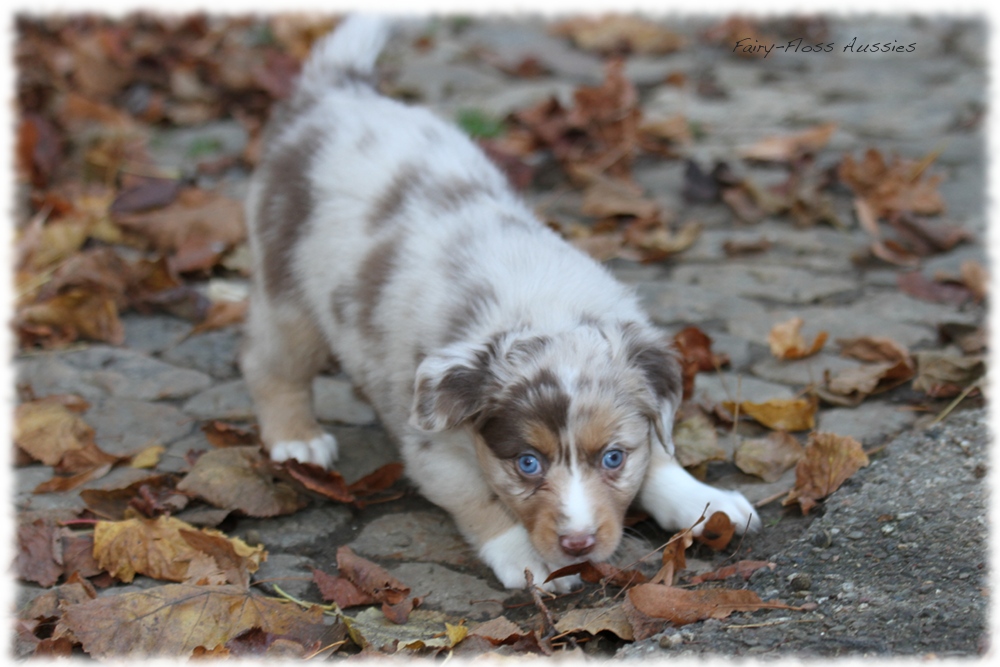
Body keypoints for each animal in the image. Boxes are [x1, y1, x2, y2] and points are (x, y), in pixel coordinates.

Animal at [242, 15, 756, 592]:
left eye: (613, 457)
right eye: (527, 464)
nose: (578, 544)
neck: (541, 311)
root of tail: (334, 90)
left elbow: (658, 451)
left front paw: (704, 500)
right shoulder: (432, 445)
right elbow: (479, 497)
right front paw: (531, 560)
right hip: (287, 289)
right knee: (269, 363)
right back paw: (297, 439)